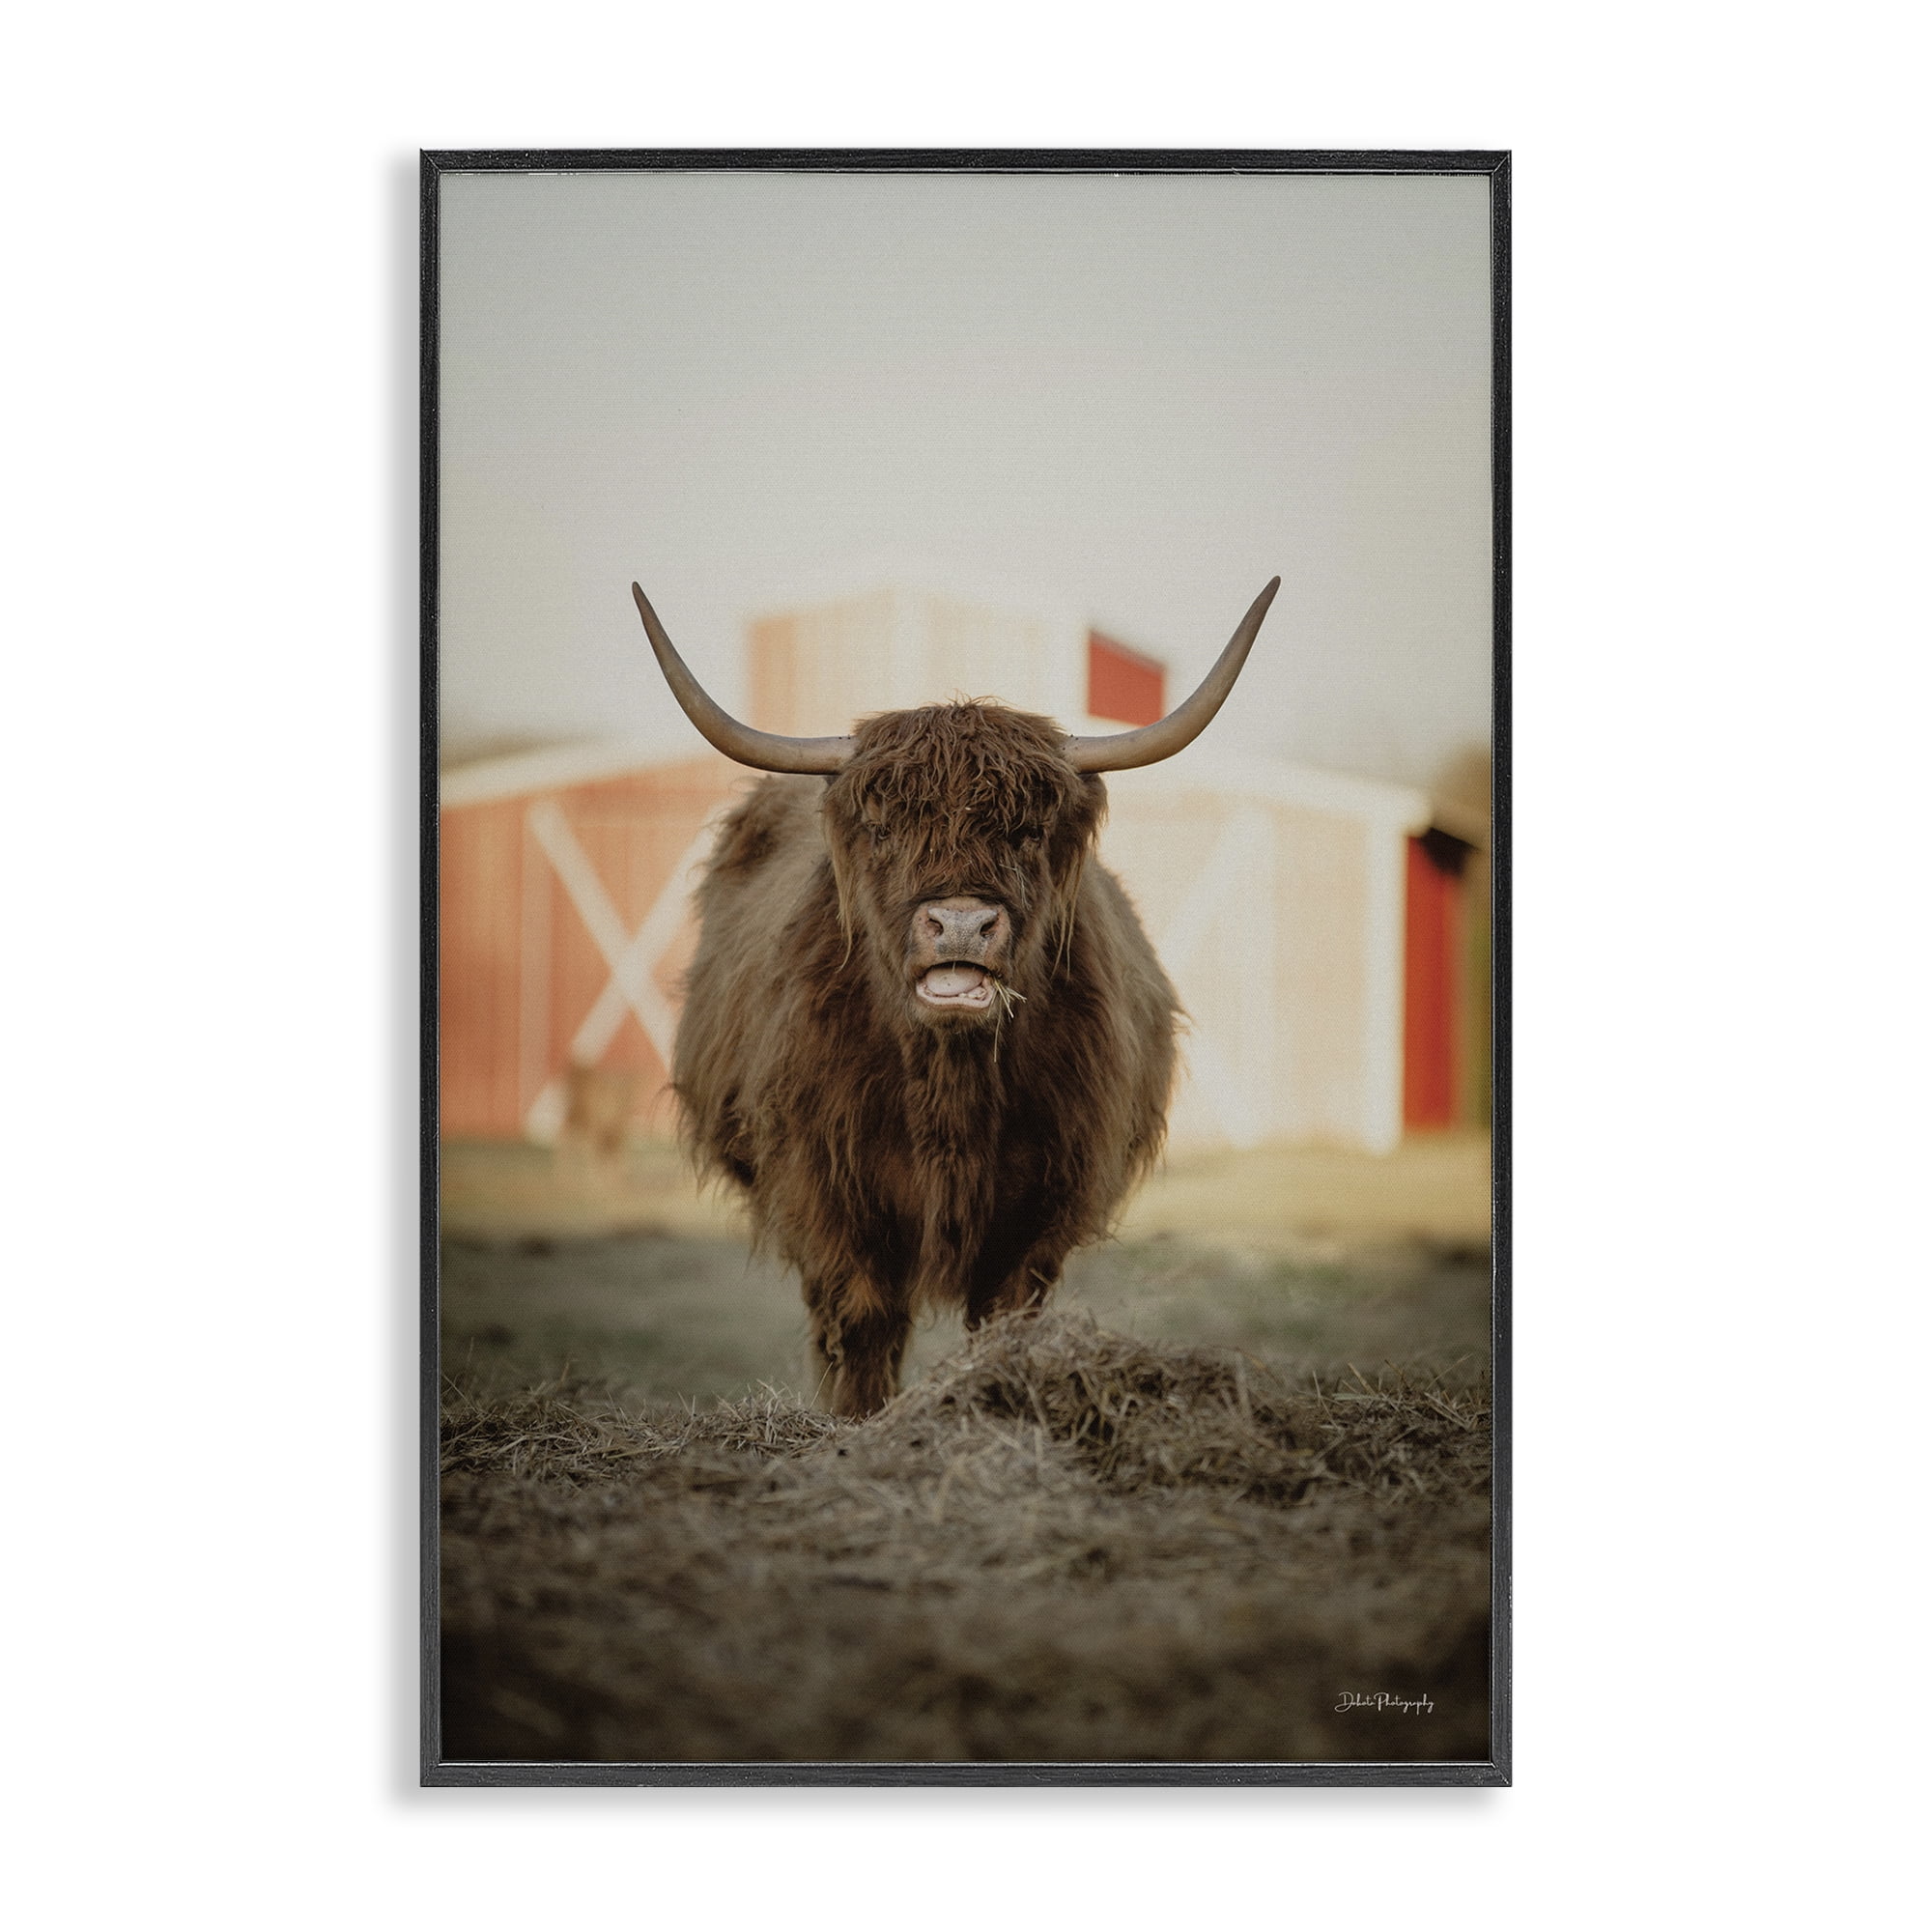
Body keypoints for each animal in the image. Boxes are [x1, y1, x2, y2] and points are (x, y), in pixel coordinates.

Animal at [631, 578, 1278, 1416]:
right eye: (882, 828)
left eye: (1028, 832)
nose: (963, 923)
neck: (949, 1086)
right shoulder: (824, 1187)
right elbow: (862, 1320)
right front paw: (862, 1421)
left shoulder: (1043, 1202)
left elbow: (1003, 1315)